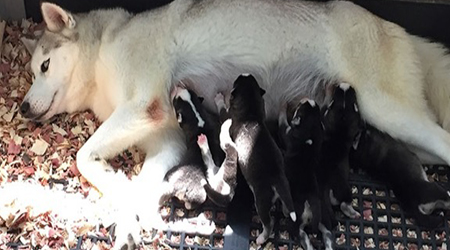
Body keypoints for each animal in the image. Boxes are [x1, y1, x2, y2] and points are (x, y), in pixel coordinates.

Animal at [221, 73, 296, 244]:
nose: (243, 73)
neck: (251, 114)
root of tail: (277, 179)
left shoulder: (231, 117)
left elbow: (224, 107)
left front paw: (220, 97)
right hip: (285, 186)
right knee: (285, 203)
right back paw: (286, 211)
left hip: (261, 202)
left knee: (268, 223)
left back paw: (262, 238)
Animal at [282, 99, 334, 250]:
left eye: (300, 107)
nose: (303, 99)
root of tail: (312, 202)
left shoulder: (288, 133)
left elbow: (283, 124)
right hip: (324, 220)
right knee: (328, 235)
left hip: (296, 224)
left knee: (303, 237)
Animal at [320, 82, 362, 219]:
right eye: (355, 104)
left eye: (334, 101)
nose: (344, 85)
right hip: (343, 189)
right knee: (344, 204)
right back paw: (354, 213)